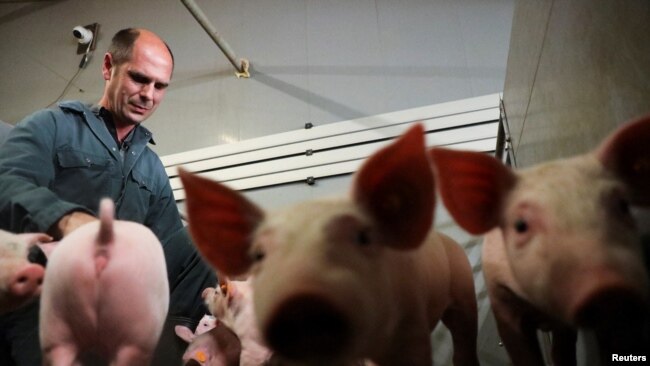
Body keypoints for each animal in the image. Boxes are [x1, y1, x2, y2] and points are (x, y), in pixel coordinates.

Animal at [430, 116, 648, 364]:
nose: (608, 287)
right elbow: (523, 353)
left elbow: (562, 350)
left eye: (623, 205)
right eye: (520, 225)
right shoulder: (501, 299)